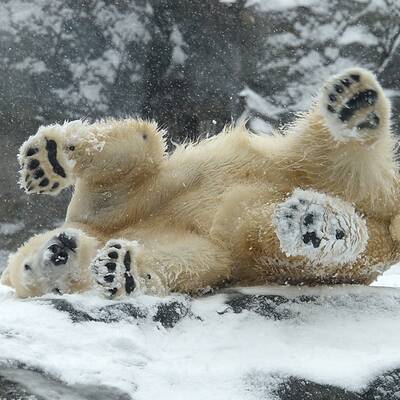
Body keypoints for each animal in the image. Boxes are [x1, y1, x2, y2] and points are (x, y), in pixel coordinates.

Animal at [2, 67, 400, 296]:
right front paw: (118, 268)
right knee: (267, 231)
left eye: (25, 264)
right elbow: (198, 259)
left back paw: (355, 105)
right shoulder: (178, 248)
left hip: (295, 161)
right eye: (54, 290)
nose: (57, 251)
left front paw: (49, 159)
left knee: (322, 149)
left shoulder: (102, 211)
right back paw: (317, 225)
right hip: (321, 248)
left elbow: (135, 152)